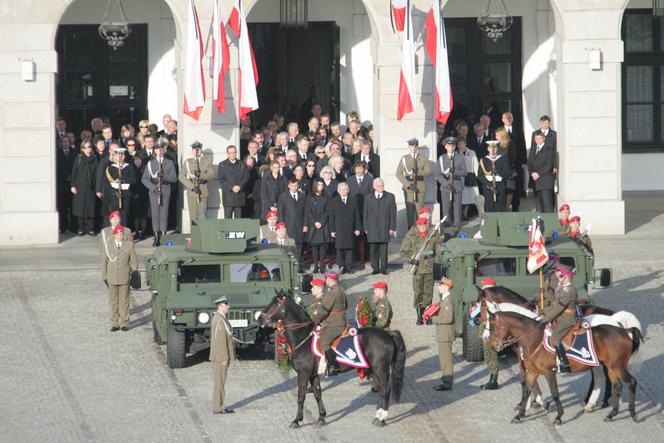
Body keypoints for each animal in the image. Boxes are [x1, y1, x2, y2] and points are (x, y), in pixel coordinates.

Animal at [258, 292, 404, 426]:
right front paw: (321, 417)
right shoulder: (313, 374)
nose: (259, 318)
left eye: (274, 304)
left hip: (380, 369)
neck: (303, 337)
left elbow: (301, 396)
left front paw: (297, 420)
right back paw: (378, 416)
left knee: (386, 390)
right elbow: (317, 393)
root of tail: (388, 334)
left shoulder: (303, 374)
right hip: (373, 370)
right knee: (381, 390)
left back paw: (382, 419)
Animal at [486, 304, 640, 424]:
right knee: (616, 386)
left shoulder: (549, 372)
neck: (533, 339)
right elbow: (526, 391)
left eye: (493, 327)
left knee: (630, 382)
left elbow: (555, 394)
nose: (491, 345)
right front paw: (520, 415)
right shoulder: (533, 371)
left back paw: (631, 412)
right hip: (611, 367)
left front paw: (558, 416)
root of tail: (624, 330)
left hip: (617, 367)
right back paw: (610, 412)